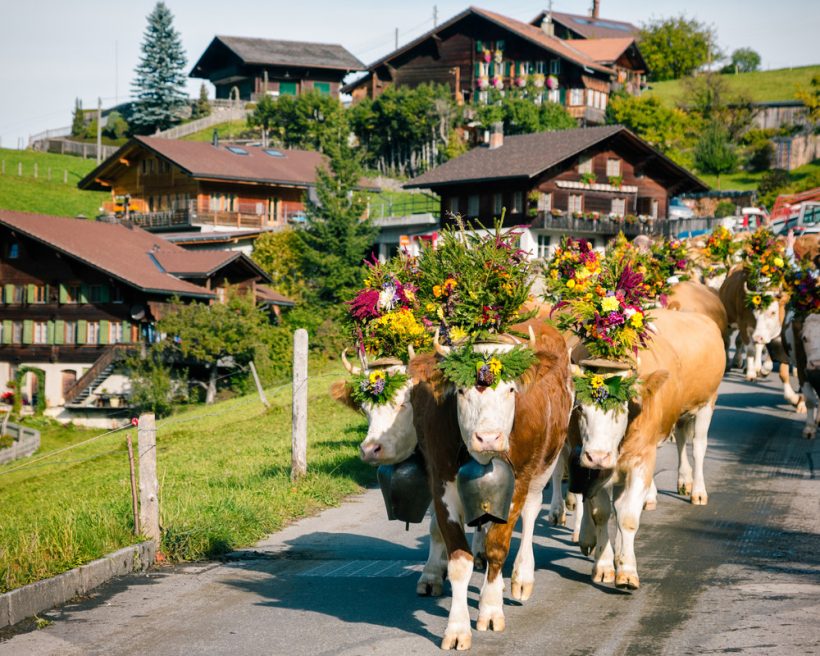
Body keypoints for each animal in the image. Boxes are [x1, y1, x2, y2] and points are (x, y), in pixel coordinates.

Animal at [432, 320, 572, 644]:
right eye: (460, 390)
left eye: (510, 389)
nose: (488, 438)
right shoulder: (442, 484)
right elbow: (458, 560)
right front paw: (457, 628)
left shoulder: (519, 479)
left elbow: (499, 545)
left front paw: (491, 609)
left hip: (545, 463)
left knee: (532, 511)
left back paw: (522, 577)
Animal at [572, 312, 724, 588]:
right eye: (580, 409)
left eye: (622, 410)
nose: (597, 456)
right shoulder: (595, 465)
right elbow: (602, 512)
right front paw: (604, 564)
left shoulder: (642, 459)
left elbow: (628, 517)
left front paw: (627, 570)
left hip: (707, 402)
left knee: (697, 446)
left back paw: (697, 490)